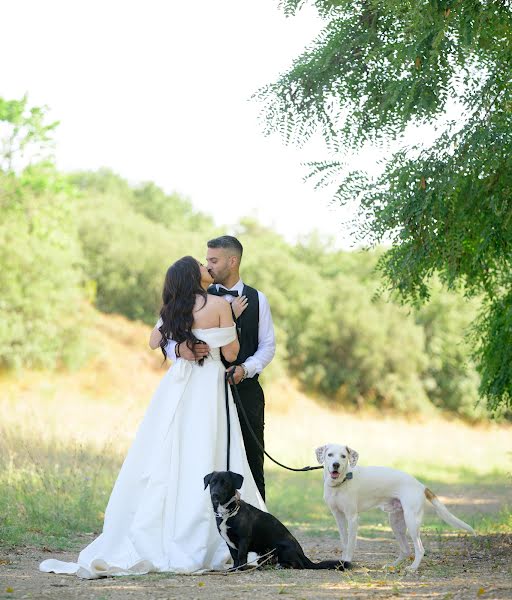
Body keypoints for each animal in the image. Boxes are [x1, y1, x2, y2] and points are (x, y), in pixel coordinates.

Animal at [203, 468, 348, 572]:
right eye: (212, 483)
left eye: (226, 484)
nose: (214, 495)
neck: (229, 512)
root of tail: (302, 555)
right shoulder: (230, 543)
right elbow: (235, 557)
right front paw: (234, 569)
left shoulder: (243, 539)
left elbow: (241, 556)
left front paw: (240, 570)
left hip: (282, 548)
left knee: (298, 564)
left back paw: (282, 566)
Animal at [316, 442, 476, 568]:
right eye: (330, 455)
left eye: (343, 456)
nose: (336, 464)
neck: (340, 483)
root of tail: (421, 486)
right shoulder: (338, 516)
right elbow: (344, 541)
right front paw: (342, 562)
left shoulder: (352, 517)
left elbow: (350, 543)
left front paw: (347, 563)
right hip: (396, 522)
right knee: (406, 550)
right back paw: (392, 566)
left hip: (412, 522)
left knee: (420, 549)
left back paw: (412, 568)